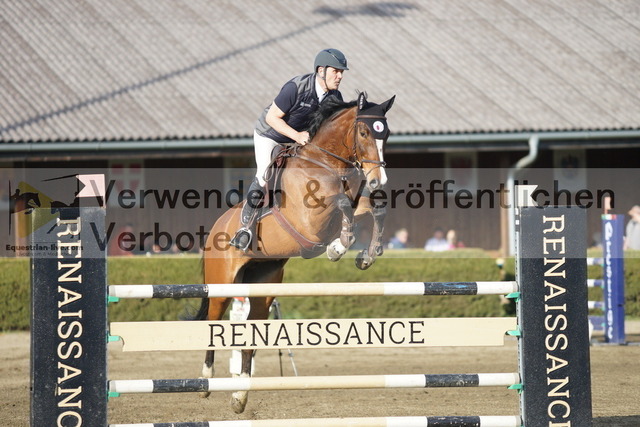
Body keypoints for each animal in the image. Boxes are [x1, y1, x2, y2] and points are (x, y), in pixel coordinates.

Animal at [197, 92, 395, 413]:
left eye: (385, 134)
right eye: (364, 132)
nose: (379, 181)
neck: (326, 162)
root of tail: (214, 229)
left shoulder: (354, 205)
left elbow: (374, 208)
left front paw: (367, 254)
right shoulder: (310, 220)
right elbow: (341, 203)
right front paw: (338, 247)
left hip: (263, 287)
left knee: (251, 329)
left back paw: (240, 396)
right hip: (222, 284)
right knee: (213, 322)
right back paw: (205, 381)